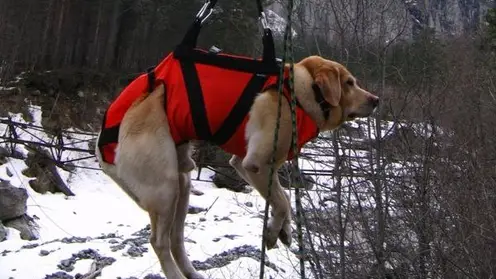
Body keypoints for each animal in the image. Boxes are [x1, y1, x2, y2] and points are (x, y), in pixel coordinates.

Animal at [95, 55, 378, 279]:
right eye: (349, 83)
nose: (375, 99)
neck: (299, 92)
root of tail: (101, 146)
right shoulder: (256, 164)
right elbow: (283, 200)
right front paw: (274, 231)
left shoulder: (247, 166)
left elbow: (281, 197)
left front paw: (284, 229)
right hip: (165, 186)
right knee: (159, 242)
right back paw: (175, 273)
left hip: (181, 184)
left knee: (176, 239)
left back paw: (191, 272)